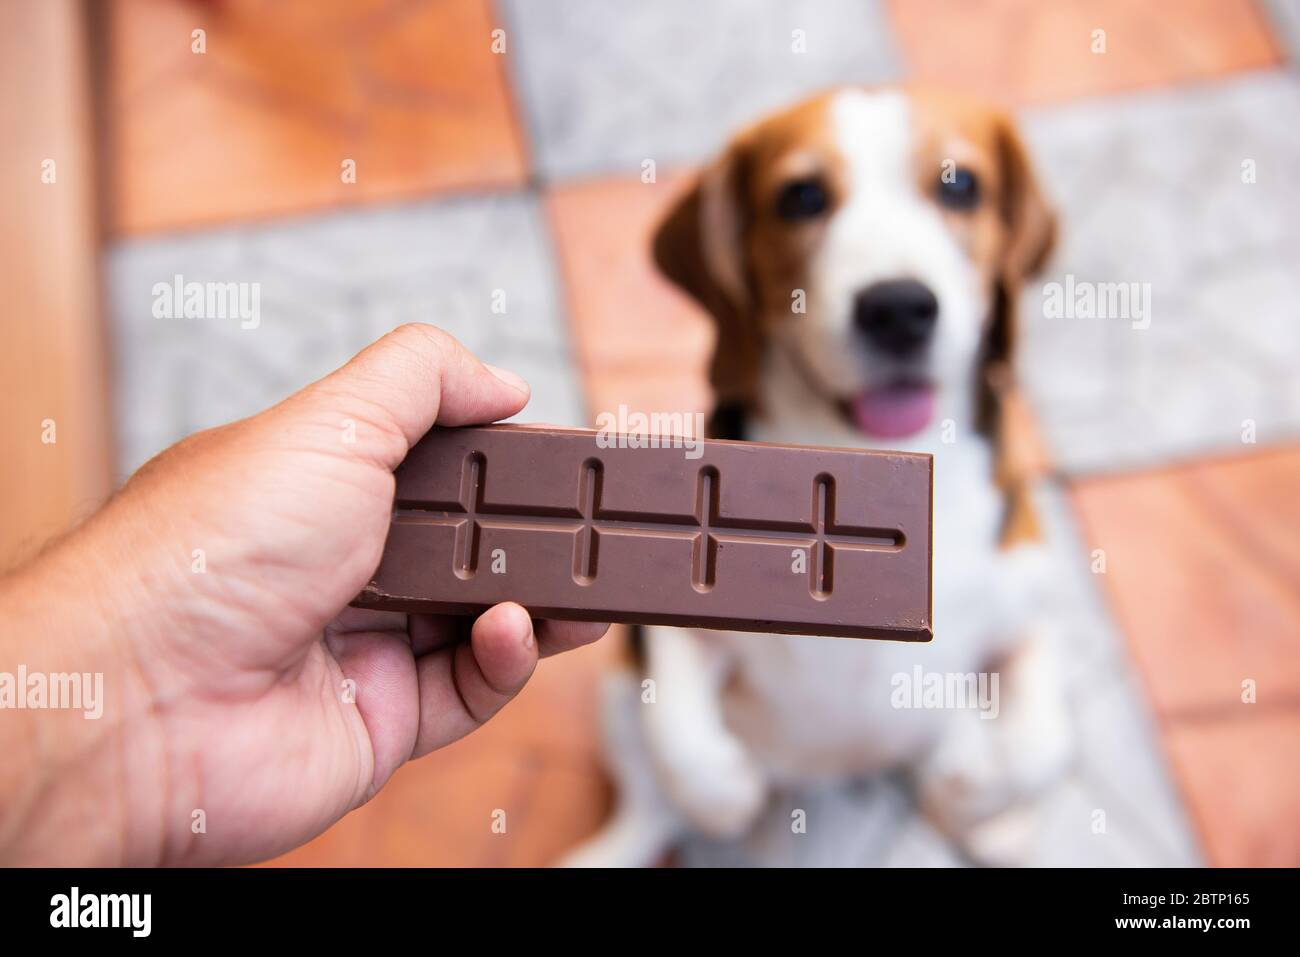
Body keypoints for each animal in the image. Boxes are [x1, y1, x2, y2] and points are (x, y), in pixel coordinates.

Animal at [564, 85, 1071, 868]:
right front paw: (721, 791)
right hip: (615, 698)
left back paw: (993, 825)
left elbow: (1039, 745)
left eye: (960, 185)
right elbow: (680, 733)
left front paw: (977, 788)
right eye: (800, 197)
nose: (898, 307)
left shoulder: (1024, 606)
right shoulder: (667, 622)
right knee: (650, 802)